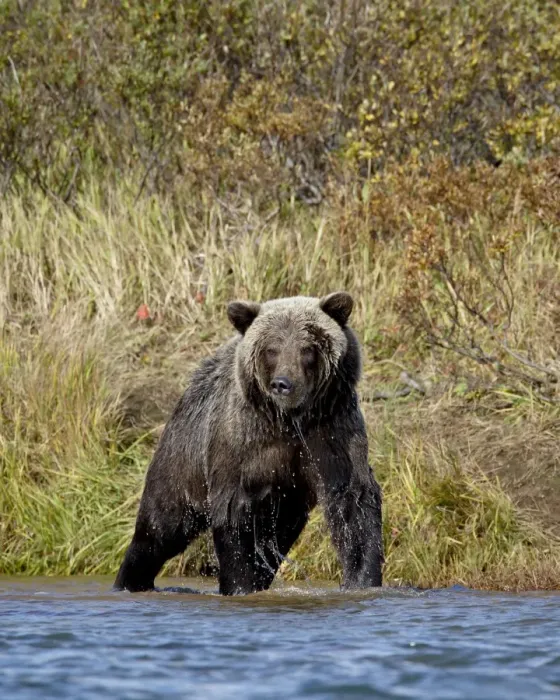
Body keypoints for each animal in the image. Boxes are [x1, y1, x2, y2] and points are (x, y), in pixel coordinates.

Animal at [114, 292, 384, 595]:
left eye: (307, 348)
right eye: (272, 349)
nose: (282, 383)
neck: (290, 422)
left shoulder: (331, 435)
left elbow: (352, 503)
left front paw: (362, 579)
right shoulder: (243, 444)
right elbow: (236, 516)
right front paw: (239, 584)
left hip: (287, 503)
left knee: (274, 538)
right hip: (185, 456)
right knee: (161, 525)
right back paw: (130, 579)